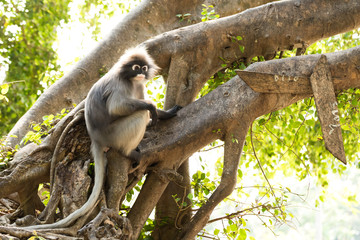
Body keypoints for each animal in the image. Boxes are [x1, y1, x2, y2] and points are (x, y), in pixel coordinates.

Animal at [25, 46, 181, 229]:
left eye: (143, 68)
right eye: (136, 67)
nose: (141, 73)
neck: (131, 80)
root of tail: (96, 139)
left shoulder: (139, 85)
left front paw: (167, 114)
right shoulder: (120, 84)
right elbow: (116, 107)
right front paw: (152, 107)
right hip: (115, 133)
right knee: (140, 114)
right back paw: (128, 151)